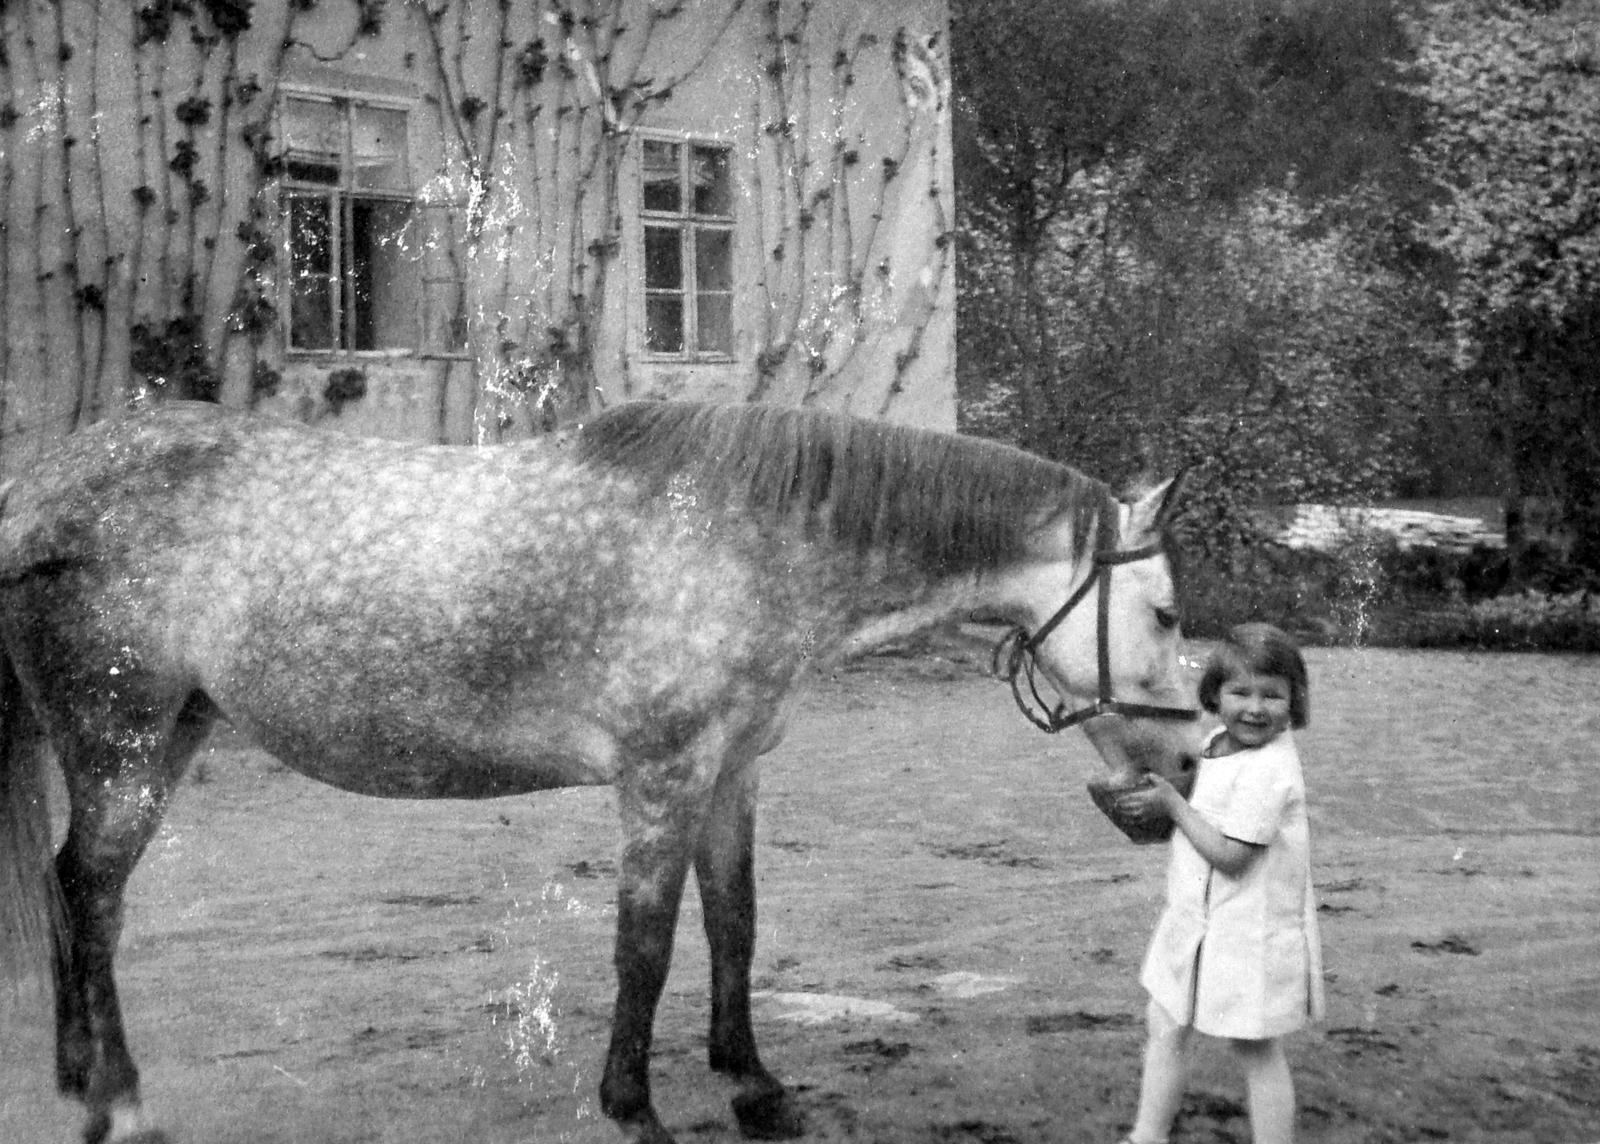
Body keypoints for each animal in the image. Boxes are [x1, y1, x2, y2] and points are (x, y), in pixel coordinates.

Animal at [0, 399, 1202, 1144]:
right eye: (1166, 614)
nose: (1188, 758)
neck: (745, 539)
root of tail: (40, 487)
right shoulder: (661, 779)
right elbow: (645, 948)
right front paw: (635, 1106)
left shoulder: (729, 775)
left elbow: (734, 925)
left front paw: (755, 1087)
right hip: (121, 746)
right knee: (90, 894)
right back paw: (120, 1100)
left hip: (170, 733)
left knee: (77, 892)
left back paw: (79, 1080)